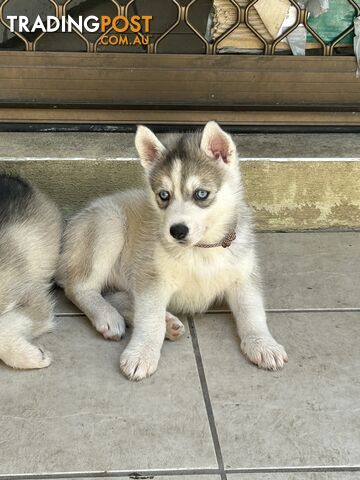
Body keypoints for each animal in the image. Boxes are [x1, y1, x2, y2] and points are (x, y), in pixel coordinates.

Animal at [59, 122, 290, 380]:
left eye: (201, 194)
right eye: (164, 195)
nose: (177, 231)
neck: (201, 250)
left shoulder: (243, 277)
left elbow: (252, 311)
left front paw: (263, 344)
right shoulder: (153, 278)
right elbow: (150, 319)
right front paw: (141, 354)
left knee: (115, 293)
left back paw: (166, 322)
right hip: (108, 225)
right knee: (79, 288)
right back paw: (108, 316)